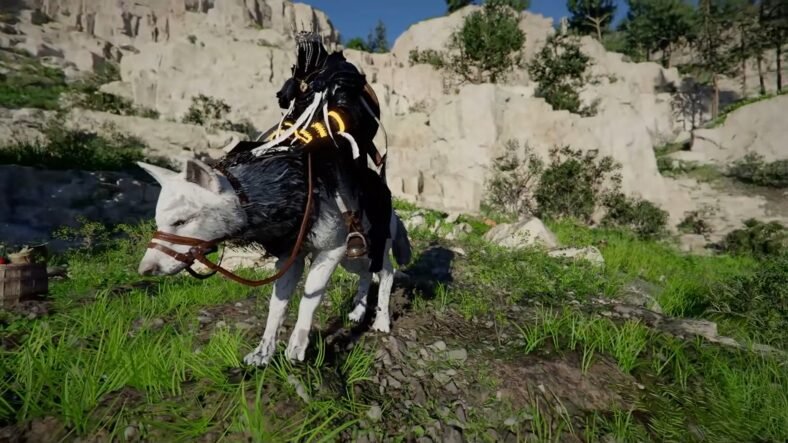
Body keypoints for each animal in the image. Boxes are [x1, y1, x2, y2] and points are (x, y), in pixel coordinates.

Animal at [136, 152, 411, 367]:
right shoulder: (292, 261)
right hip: (351, 259)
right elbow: (277, 308)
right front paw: (263, 353)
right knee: (366, 275)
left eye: (180, 221)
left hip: (369, 250)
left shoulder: (330, 252)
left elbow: (308, 301)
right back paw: (358, 311)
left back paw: (382, 320)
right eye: (160, 222)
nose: (144, 270)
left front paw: (297, 346)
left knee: (386, 273)